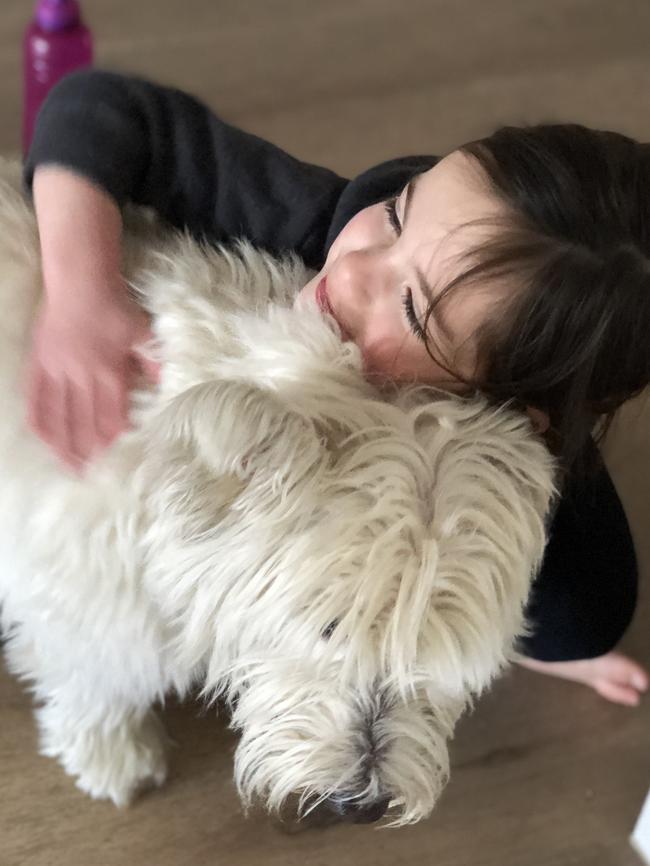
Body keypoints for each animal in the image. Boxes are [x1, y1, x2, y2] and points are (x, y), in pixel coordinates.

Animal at [0, 159, 552, 828]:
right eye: (330, 628)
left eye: (435, 650)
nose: (363, 805)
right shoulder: (82, 597)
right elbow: (94, 677)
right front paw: (112, 756)